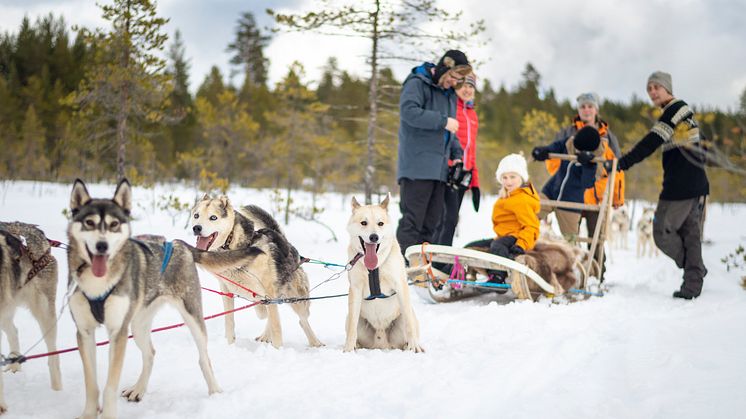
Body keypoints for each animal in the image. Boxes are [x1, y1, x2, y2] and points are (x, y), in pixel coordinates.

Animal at [67, 180, 264, 419]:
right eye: (89, 223)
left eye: (114, 224)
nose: (102, 246)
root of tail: (178, 243)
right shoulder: (84, 333)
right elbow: (91, 384)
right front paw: (88, 414)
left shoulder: (118, 333)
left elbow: (109, 386)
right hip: (138, 325)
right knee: (150, 353)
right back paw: (138, 389)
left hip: (192, 317)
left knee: (204, 358)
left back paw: (215, 392)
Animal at [190, 195, 322, 350]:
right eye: (196, 215)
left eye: (213, 217)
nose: (196, 228)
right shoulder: (226, 292)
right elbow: (231, 322)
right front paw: (230, 345)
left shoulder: (269, 291)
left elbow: (275, 326)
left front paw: (278, 350)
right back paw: (265, 335)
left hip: (297, 300)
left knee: (302, 320)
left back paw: (315, 342)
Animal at [342, 195, 418, 352]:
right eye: (364, 222)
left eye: (380, 223)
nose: (374, 237)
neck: (374, 268)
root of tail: (381, 343)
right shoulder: (355, 289)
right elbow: (352, 327)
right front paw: (348, 349)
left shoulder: (400, 285)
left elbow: (409, 324)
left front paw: (414, 347)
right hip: (354, 319)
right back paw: (356, 345)